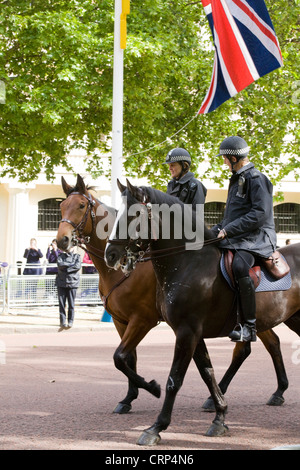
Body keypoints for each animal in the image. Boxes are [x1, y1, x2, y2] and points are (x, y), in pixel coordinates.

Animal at [103, 182, 300, 446]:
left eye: (133, 215)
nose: (110, 255)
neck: (188, 263)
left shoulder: (185, 331)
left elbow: (174, 380)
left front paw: (156, 426)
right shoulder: (193, 333)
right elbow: (207, 373)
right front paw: (219, 417)